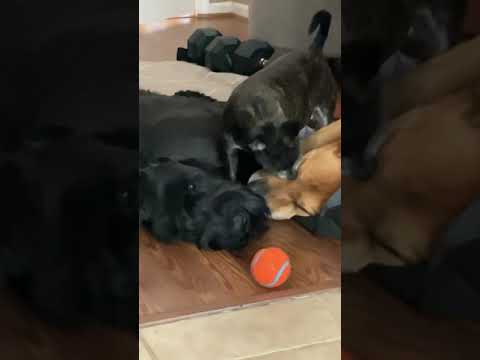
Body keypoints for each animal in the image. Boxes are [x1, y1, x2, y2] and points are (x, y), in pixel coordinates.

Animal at [222, 10, 338, 180]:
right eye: (277, 167)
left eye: (297, 160)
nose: (293, 177)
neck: (258, 117)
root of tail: (313, 51)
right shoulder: (230, 147)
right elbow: (231, 172)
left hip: (325, 108)